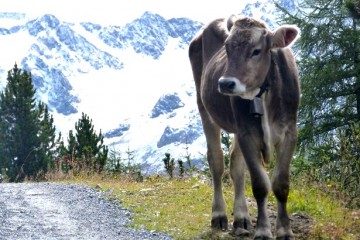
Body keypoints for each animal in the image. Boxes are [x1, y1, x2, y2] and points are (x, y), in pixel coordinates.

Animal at [190, 15, 300, 240]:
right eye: (227, 47)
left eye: (256, 50)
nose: (226, 83)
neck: (264, 92)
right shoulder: (247, 134)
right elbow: (259, 185)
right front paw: (263, 231)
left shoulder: (289, 132)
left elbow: (281, 184)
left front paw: (285, 230)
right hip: (205, 108)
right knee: (217, 161)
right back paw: (219, 215)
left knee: (236, 165)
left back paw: (241, 217)